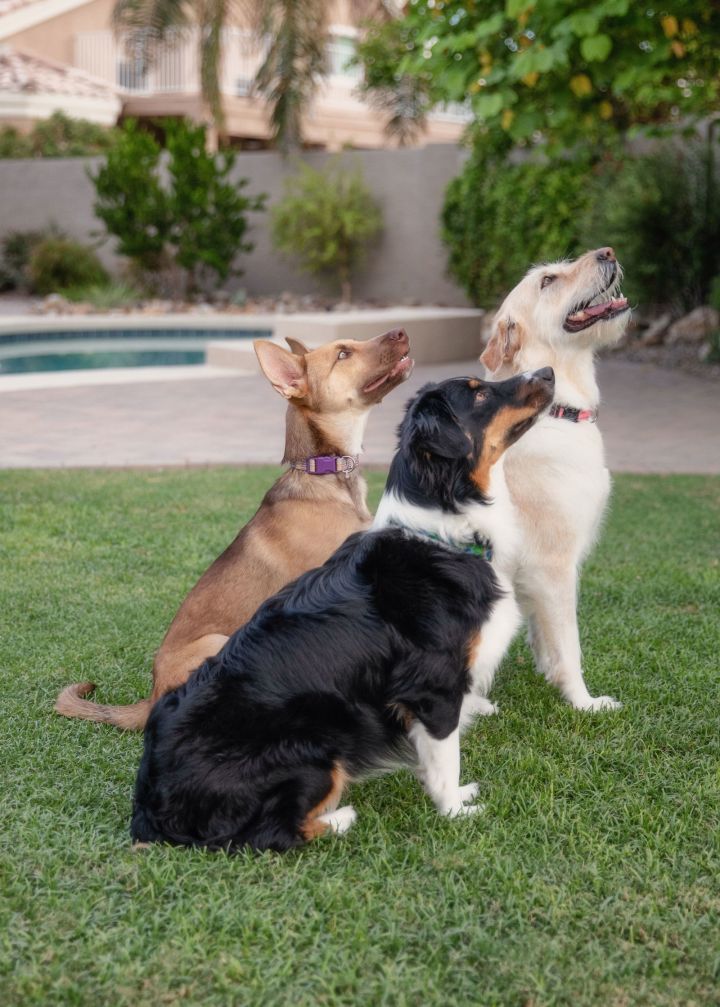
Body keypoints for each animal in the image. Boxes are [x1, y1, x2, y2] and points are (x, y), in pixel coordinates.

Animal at [131, 366, 555, 853]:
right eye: (480, 394)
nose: (548, 372)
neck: (443, 532)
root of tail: (149, 804)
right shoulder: (432, 686)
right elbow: (446, 757)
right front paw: (456, 810)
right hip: (315, 749)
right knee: (274, 832)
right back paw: (343, 817)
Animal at [479, 247, 632, 712]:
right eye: (547, 280)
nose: (608, 251)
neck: (556, 409)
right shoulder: (554, 566)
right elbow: (570, 645)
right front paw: (584, 701)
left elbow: (546, 640)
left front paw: (549, 676)